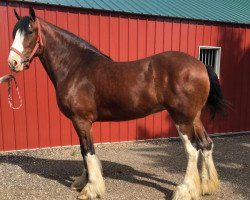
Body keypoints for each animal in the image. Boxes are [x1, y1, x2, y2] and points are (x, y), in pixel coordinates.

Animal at [8, 6, 227, 200]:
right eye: (13, 32)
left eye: (30, 31)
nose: (13, 63)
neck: (75, 67)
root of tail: (201, 65)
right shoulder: (81, 122)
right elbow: (84, 151)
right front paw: (83, 181)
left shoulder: (81, 120)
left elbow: (88, 151)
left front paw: (91, 190)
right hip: (194, 118)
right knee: (206, 145)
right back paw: (206, 186)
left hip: (182, 119)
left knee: (193, 150)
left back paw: (184, 191)